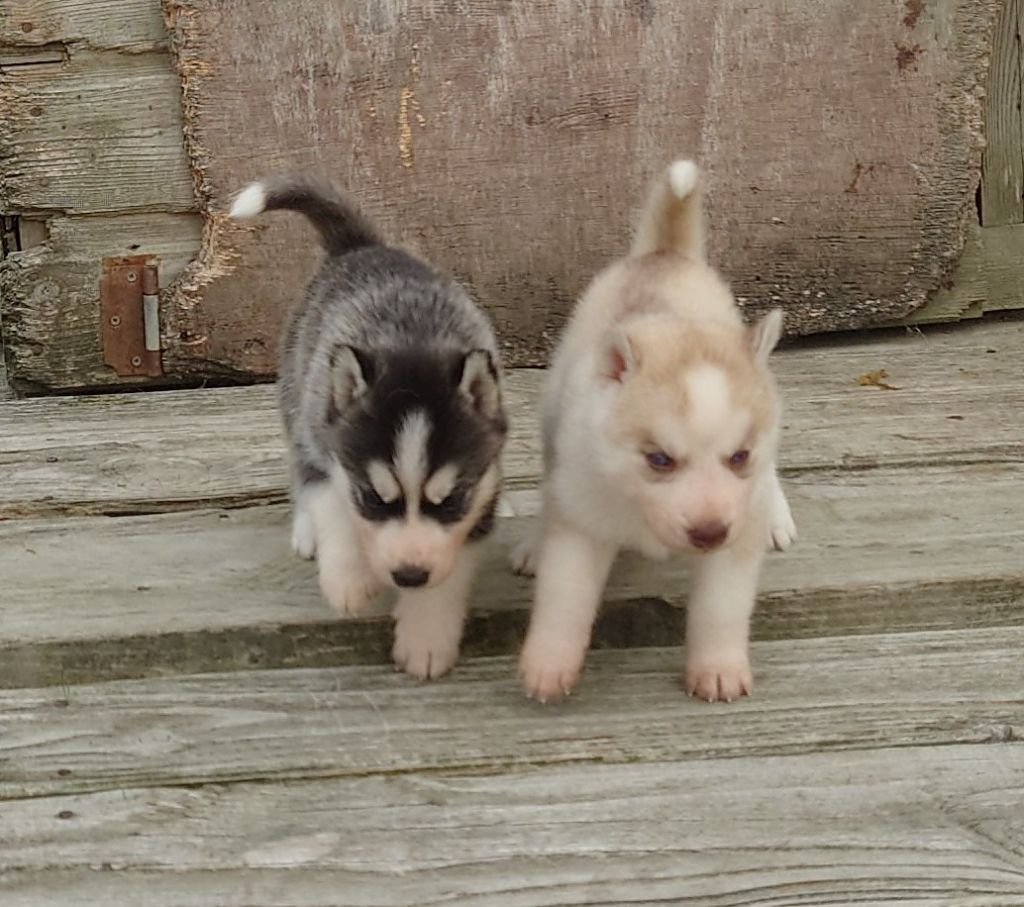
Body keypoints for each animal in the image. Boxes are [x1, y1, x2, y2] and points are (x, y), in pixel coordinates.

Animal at [230, 177, 505, 679]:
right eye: (374, 499)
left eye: (450, 501)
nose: (409, 576)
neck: (413, 343)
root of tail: (362, 247)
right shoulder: (327, 449)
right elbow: (333, 506)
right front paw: (349, 579)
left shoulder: (483, 487)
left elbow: (449, 569)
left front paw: (426, 636)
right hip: (297, 399)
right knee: (299, 469)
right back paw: (306, 532)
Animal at [516, 159, 794, 708]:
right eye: (659, 460)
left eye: (739, 457)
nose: (709, 533)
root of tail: (664, 254)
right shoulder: (581, 518)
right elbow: (565, 598)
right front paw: (548, 665)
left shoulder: (735, 536)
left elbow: (721, 607)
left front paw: (718, 669)